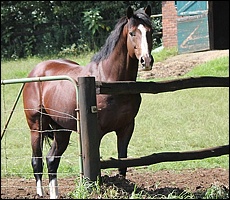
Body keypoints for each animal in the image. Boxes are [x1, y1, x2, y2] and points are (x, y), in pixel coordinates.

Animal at [22, 5, 154, 198]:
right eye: (132, 33)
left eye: (150, 32)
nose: (147, 61)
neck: (110, 80)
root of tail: (35, 72)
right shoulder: (97, 131)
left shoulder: (126, 128)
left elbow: (122, 162)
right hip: (36, 127)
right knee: (36, 160)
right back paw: (40, 193)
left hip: (61, 130)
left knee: (52, 159)